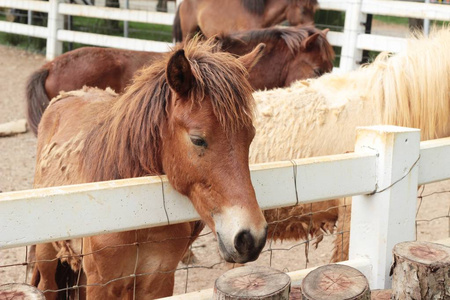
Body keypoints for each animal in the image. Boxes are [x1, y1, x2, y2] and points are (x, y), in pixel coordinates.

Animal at [33, 37, 268, 300]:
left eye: (250, 136)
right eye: (198, 140)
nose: (251, 238)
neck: (136, 215)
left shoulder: (157, 281)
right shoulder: (101, 285)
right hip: (47, 258)